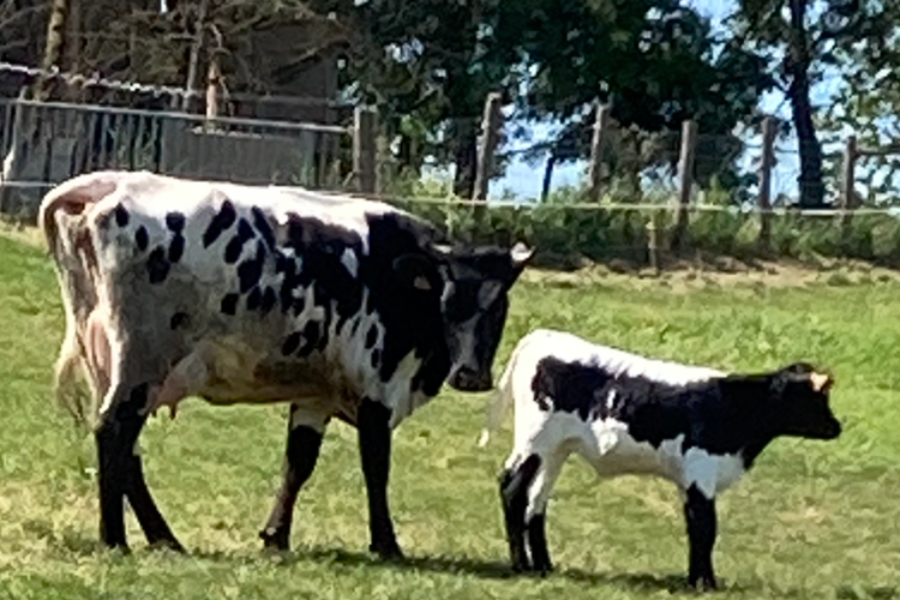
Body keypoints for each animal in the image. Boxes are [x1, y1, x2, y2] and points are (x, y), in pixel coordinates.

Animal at [40, 169, 536, 556]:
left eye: (498, 307)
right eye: (447, 303)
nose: (470, 375)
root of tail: (116, 183)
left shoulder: (316, 395)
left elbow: (298, 462)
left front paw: (276, 536)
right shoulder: (377, 387)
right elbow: (376, 466)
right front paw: (386, 544)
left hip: (111, 364)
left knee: (127, 451)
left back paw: (164, 538)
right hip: (142, 362)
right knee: (114, 433)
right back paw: (116, 540)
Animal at [478, 328, 844, 592]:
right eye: (815, 398)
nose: (837, 427)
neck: (731, 407)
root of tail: (545, 336)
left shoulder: (689, 480)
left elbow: (694, 528)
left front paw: (695, 580)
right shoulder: (701, 473)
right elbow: (707, 528)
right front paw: (707, 584)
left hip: (556, 451)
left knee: (536, 501)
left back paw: (544, 566)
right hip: (534, 441)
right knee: (513, 489)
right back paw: (521, 566)